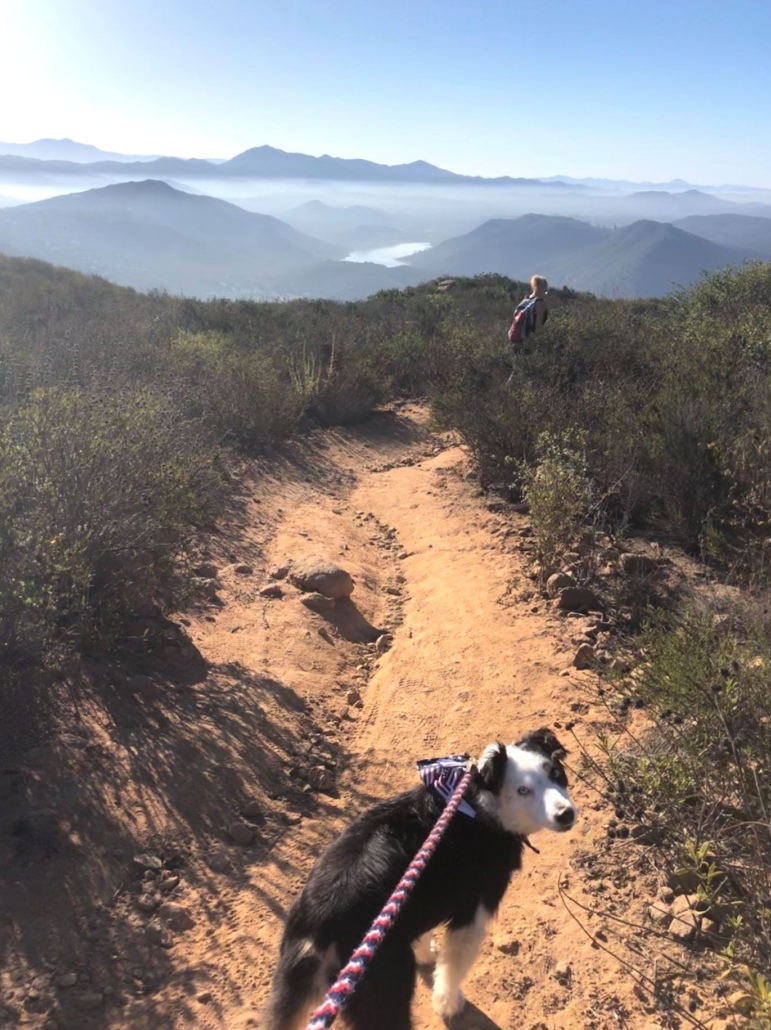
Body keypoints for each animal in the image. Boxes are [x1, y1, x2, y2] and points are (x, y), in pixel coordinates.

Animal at [261, 729, 576, 1025]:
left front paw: (426, 954)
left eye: (555, 773)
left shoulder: (422, 896)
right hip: (385, 992)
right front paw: (449, 1005)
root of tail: (315, 932)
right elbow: (451, 969)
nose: (566, 815)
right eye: (523, 790)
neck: (478, 807)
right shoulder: (471, 913)